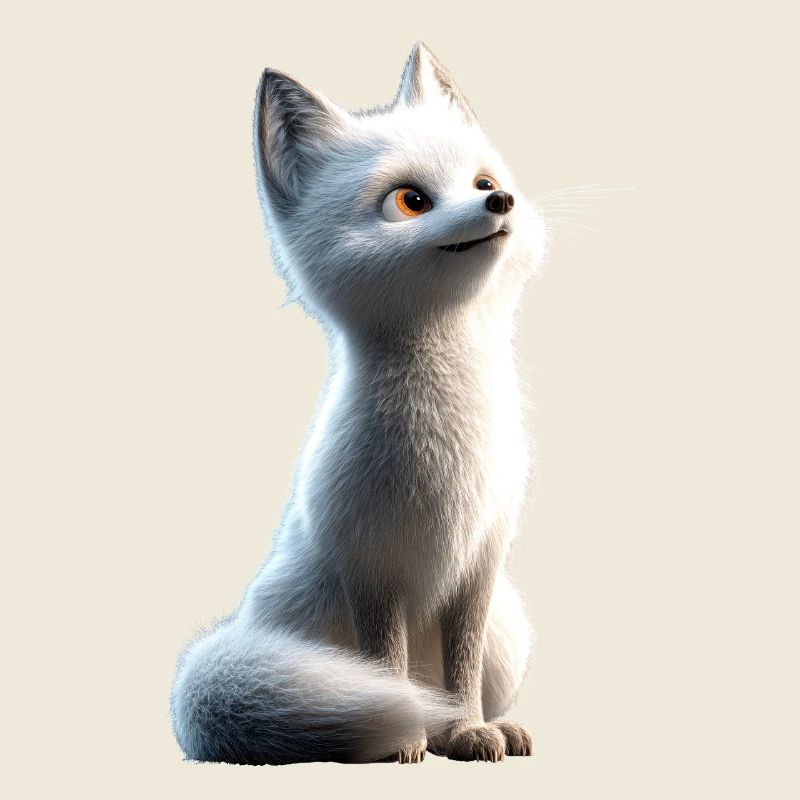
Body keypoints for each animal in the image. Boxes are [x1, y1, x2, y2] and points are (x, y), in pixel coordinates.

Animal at [170, 41, 548, 765]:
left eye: (482, 182)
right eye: (411, 200)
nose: (502, 200)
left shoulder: (480, 563)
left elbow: (459, 669)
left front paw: (465, 730)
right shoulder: (371, 566)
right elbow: (385, 664)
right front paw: (411, 739)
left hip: (508, 632)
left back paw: (495, 725)